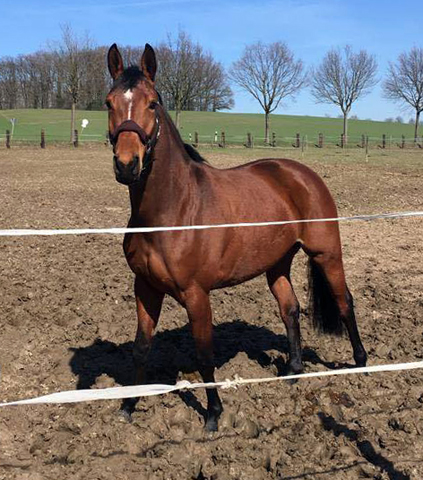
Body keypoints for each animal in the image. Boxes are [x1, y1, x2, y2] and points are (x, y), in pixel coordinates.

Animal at [106, 42, 368, 432]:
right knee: (290, 309)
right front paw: (128, 405)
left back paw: (361, 362)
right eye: (109, 102)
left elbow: (204, 354)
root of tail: (301, 173)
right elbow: (141, 347)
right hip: (277, 263)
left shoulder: (196, 294)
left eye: (152, 103)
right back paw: (293, 371)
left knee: (344, 302)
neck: (171, 211)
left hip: (326, 254)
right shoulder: (146, 287)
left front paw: (214, 414)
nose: (127, 165)